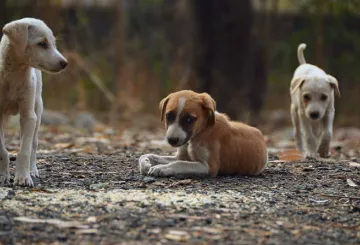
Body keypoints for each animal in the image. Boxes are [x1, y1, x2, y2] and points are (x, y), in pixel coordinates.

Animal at [0, 17, 67, 186]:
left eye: (53, 43)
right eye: (42, 43)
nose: (65, 63)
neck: (14, 75)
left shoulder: (29, 116)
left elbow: (24, 151)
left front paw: (23, 177)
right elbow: (2, 151)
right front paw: (3, 176)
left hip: (38, 109)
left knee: (33, 144)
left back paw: (32, 170)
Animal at [138, 89, 268, 176]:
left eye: (189, 119)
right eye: (169, 116)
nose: (172, 140)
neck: (202, 131)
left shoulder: (209, 167)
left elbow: (180, 164)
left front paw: (162, 168)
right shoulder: (182, 156)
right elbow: (148, 155)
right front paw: (145, 164)